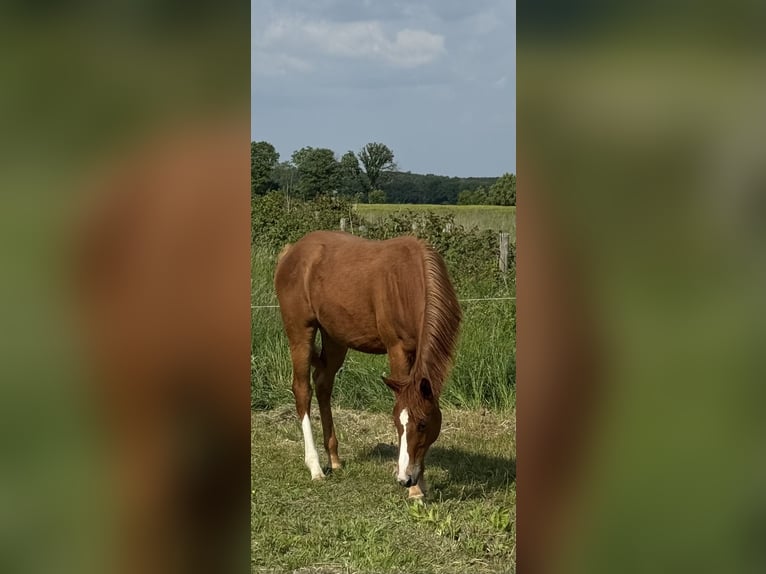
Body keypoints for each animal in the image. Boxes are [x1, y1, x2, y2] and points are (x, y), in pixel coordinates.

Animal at [274, 230, 461, 499]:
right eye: (397, 423)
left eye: (423, 424)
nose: (405, 479)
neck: (409, 279)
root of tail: (291, 252)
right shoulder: (397, 349)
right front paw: (415, 491)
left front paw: (420, 482)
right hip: (300, 332)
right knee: (302, 390)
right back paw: (315, 467)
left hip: (335, 337)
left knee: (323, 385)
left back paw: (334, 459)